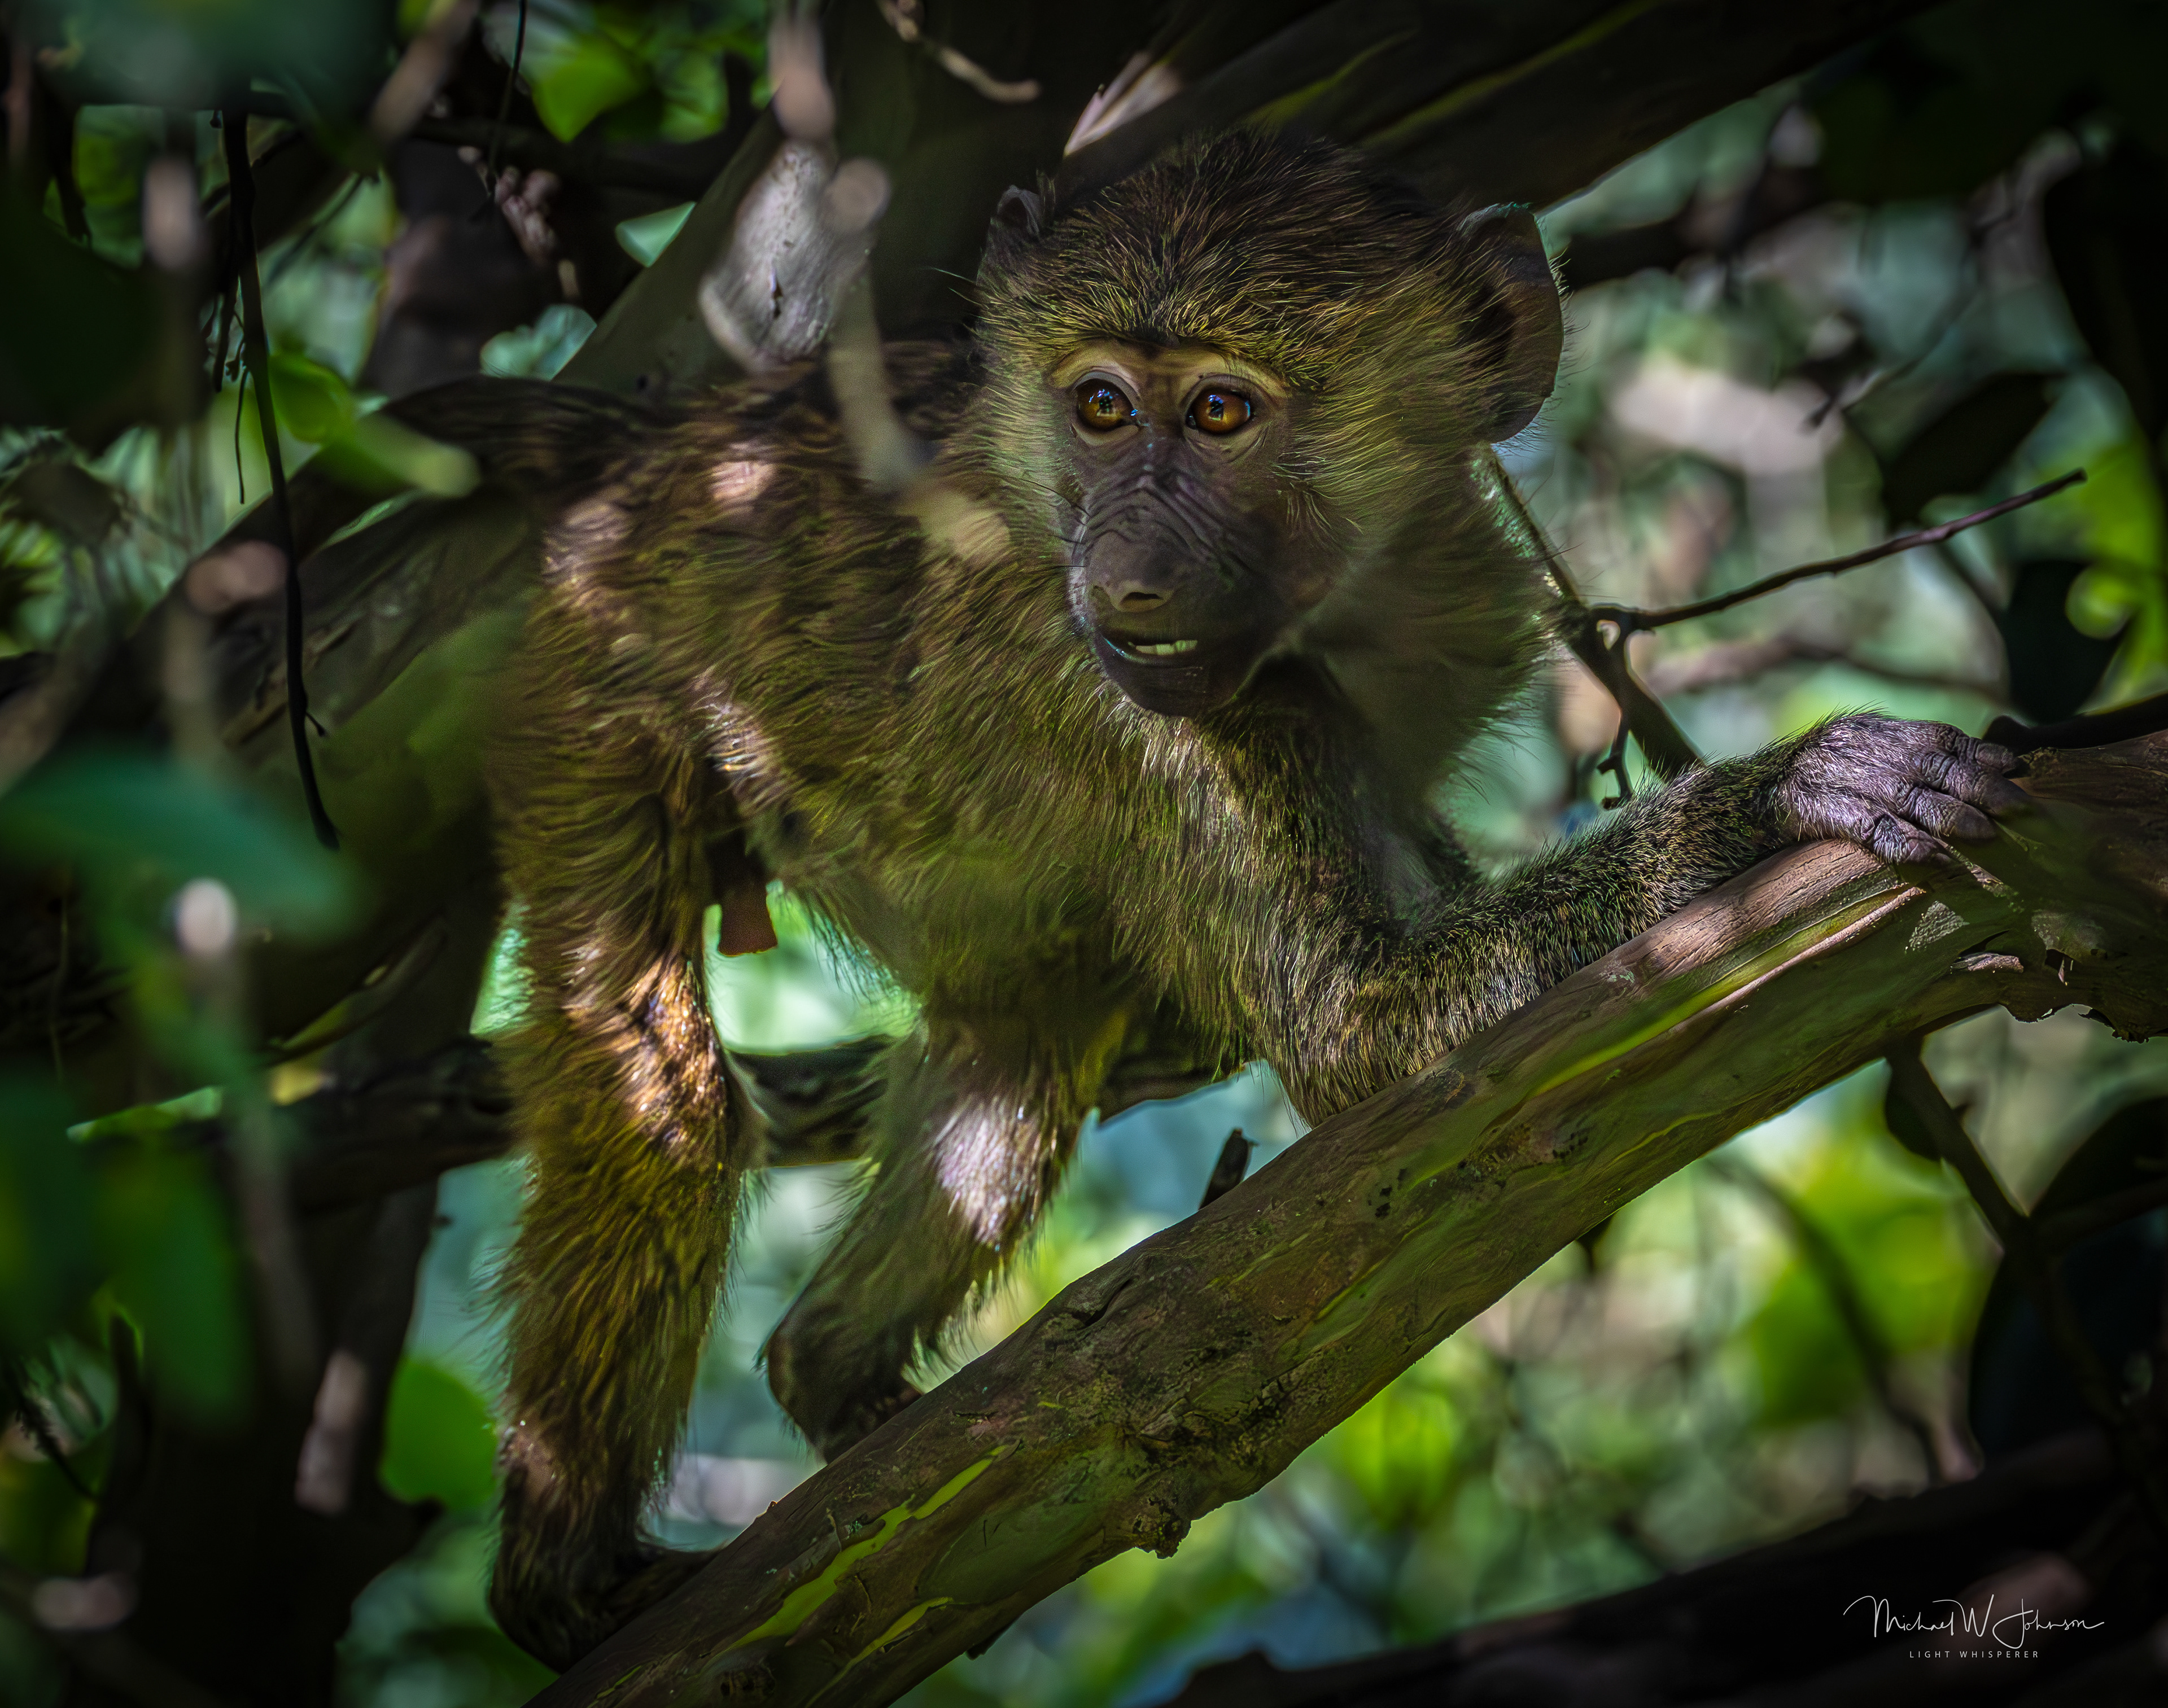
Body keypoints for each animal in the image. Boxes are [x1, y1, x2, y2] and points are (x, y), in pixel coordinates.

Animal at [480, 130, 2027, 1666]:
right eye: (1101, 407)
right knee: (666, 1093)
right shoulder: (1123, 694)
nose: (1122, 575)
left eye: (1221, 411)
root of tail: (656, 465)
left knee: (1022, 1036)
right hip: (593, 680)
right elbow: (1358, 1030)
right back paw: (570, 1589)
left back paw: (838, 1383)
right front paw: (1791, 789)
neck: (1348, 608)